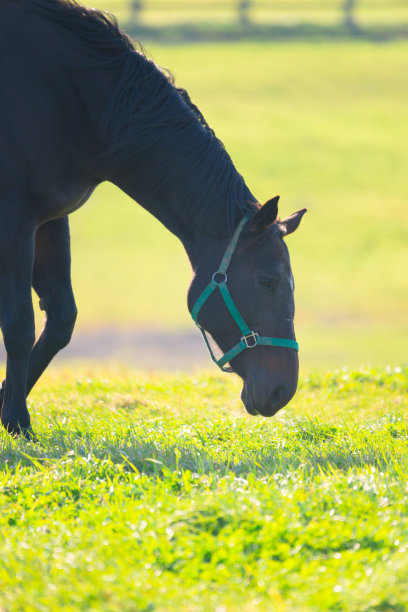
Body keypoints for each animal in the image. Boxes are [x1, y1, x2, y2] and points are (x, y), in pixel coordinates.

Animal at [0, 1, 306, 440]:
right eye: (268, 281)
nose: (283, 390)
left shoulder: (49, 219)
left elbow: (60, 319)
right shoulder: (15, 215)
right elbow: (20, 326)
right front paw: (16, 420)